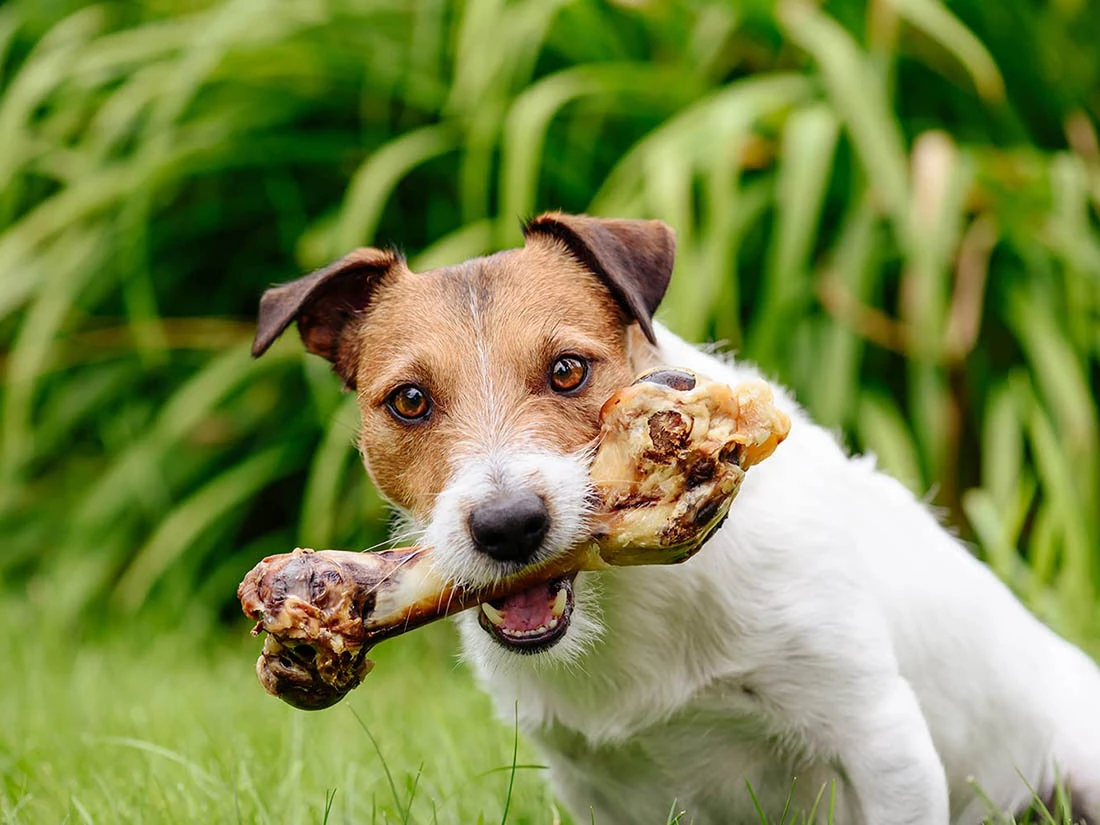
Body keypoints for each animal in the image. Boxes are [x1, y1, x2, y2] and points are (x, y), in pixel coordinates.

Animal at [253, 214, 1100, 825]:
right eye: (409, 400)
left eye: (568, 369)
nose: (508, 525)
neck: (630, 601)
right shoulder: (595, 785)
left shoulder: (882, 740)